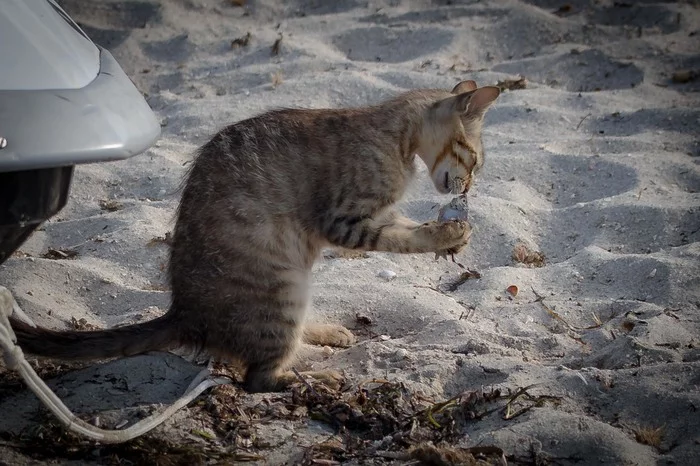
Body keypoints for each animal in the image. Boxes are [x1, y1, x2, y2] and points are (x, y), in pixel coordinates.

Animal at [12, 79, 504, 390]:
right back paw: (319, 377)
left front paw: (455, 231)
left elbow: (405, 227)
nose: (468, 187)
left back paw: (326, 332)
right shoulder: (346, 220)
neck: (395, 136)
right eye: (476, 160)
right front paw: (447, 234)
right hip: (283, 292)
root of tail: (184, 314)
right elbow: (405, 237)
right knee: (259, 379)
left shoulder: (376, 216)